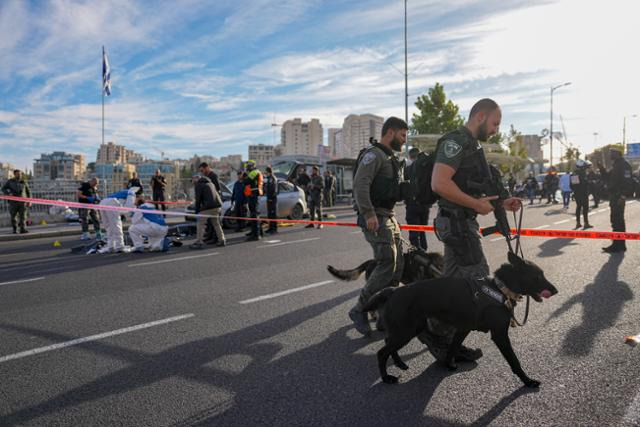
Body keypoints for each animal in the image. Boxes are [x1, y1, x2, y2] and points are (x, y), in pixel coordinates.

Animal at [362, 252, 556, 390]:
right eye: (538, 276)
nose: (555, 291)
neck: (499, 288)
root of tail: (393, 291)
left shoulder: (463, 329)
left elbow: (452, 348)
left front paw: (449, 365)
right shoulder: (500, 335)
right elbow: (514, 361)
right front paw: (527, 381)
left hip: (408, 329)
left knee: (388, 344)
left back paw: (400, 363)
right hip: (406, 331)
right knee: (382, 352)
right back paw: (386, 377)